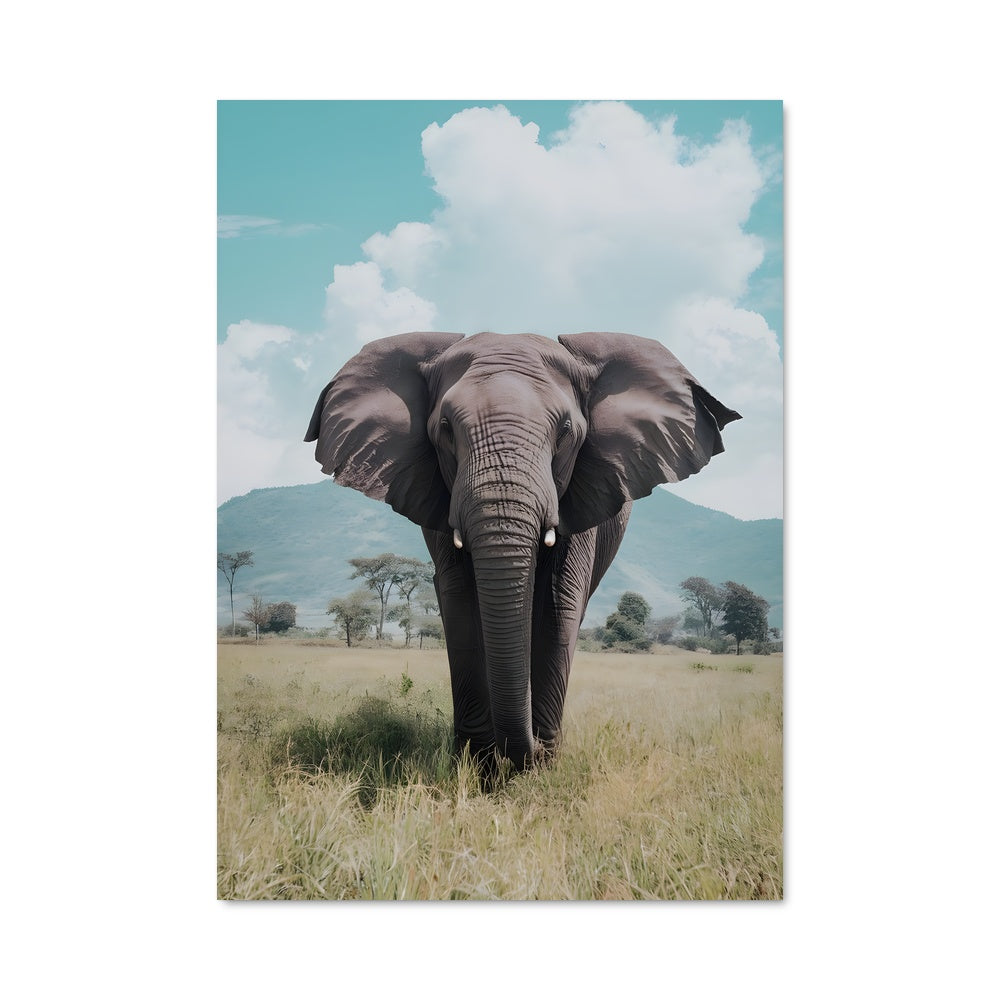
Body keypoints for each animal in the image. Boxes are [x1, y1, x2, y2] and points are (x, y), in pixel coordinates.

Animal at [305, 331, 740, 773]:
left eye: (565, 431)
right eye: (445, 428)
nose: (523, 754)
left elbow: (558, 604)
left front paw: (537, 768)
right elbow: (460, 601)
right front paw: (480, 767)